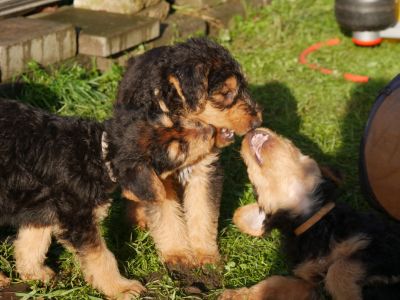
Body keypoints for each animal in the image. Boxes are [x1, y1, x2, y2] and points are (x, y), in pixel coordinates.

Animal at [0, 98, 217, 298]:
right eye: (180, 149)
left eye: (174, 122)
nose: (212, 131)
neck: (99, 153)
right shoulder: (79, 218)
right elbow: (102, 257)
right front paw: (122, 289)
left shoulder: (42, 206)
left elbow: (33, 241)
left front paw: (33, 273)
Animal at [117, 38, 264, 268]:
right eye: (226, 93)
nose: (257, 121)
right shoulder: (156, 173)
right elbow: (166, 215)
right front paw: (177, 254)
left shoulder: (204, 170)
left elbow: (202, 211)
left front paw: (205, 254)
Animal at [220, 127, 400, 298]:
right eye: (255, 187)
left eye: (292, 145)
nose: (251, 129)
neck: (313, 222)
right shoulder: (310, 281)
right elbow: (275, 282)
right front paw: (236, 294)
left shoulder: (381, 246)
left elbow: (337, 270)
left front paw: (348, 295)